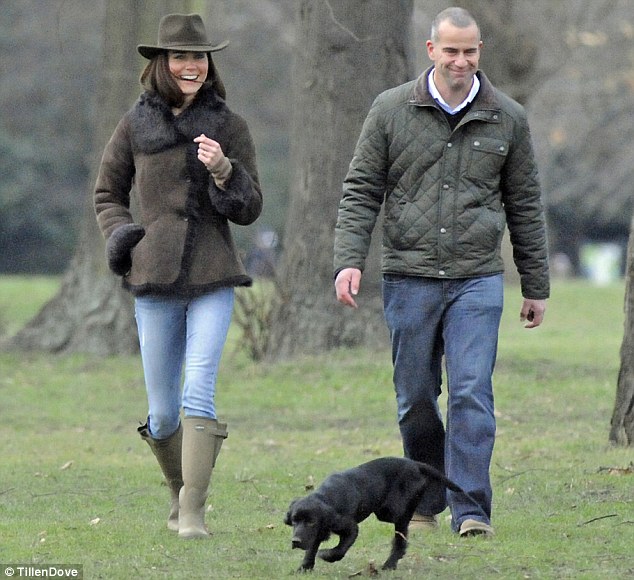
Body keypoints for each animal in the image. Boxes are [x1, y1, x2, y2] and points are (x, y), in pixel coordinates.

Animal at [284, 458, 472, 572]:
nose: (295, 541)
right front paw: (304, 568)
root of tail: (415, 464)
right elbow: (311, 548)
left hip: (395, 511)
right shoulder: (317, 533)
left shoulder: (350, 527)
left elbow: (340, 549)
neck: (326, 496)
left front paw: (326, 555)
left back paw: (389, 564)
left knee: (400, 540)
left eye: (311, 522)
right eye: (294, 521)